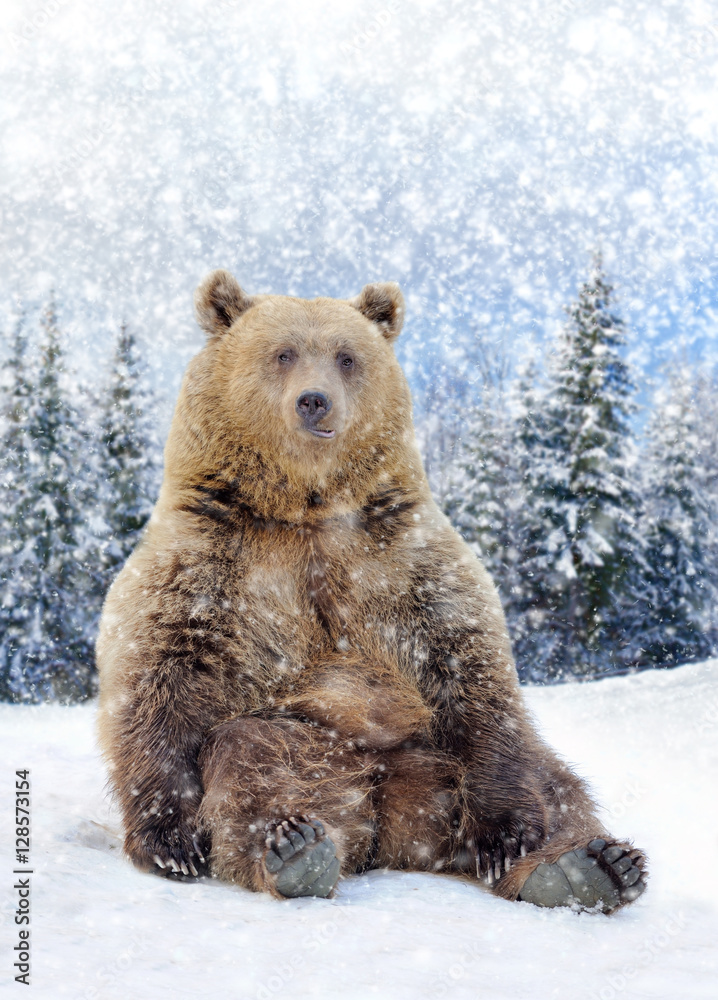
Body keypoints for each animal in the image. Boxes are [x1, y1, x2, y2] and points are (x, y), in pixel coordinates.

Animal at [96, 270, 647, 912]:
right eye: (282, 353)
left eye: (347, 357)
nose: (314, 399)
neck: (305, 506)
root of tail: (389, 822)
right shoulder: (209, 557)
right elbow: (160, 670)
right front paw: (170, 840)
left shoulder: (402, 554)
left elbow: (470, 664)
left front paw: (509, 836)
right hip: (313, 749)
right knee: (251, 756)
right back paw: (296, 849)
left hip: (432, 757)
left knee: (552, 780)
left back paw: (587, 865)